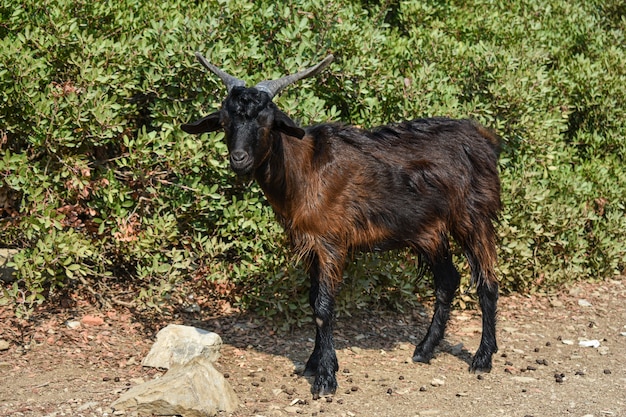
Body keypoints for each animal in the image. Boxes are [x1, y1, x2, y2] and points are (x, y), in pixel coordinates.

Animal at [178, 52, 500, 396]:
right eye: (225, 122)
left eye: (266, 122)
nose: (239, 159)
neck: (304, 170)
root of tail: (485, 140)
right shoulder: (308, 243)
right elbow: (312, 301)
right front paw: (314, 363)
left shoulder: (331, 241)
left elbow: (323, 307)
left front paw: (325, 377)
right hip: (430, 229)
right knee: (448, 280)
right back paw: (425, 350)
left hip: (473, 216)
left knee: (487, 282)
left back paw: (482, 358)